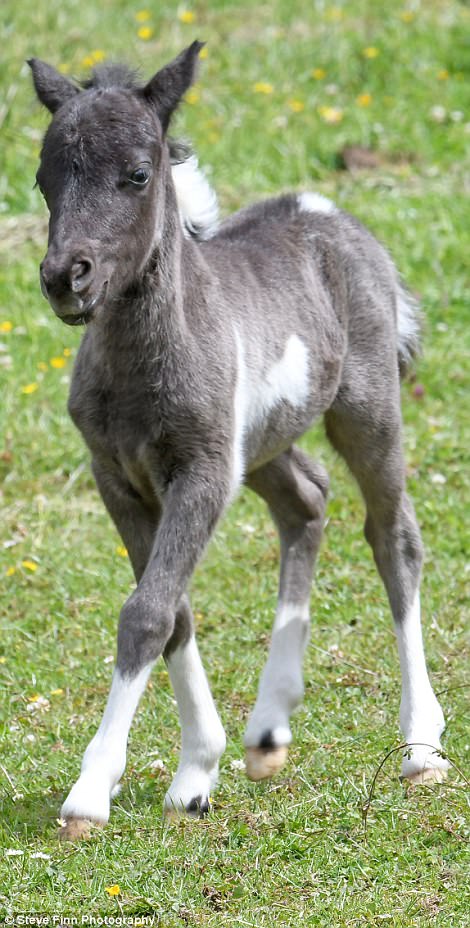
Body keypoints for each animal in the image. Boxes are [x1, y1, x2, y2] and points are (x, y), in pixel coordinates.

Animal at [29, 45, 448, 840]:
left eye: (137, 174)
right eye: (43, 178)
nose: (66, 278)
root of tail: (328, 213)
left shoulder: (200, 472)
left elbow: (148, 613)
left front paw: (91, 790)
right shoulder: (119, 476)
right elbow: (172, 610)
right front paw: (198, 769)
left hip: (366, 412)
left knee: (394, 537)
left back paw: (421, 744)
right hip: (261, 446)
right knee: (307, 502)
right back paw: (268, 729)